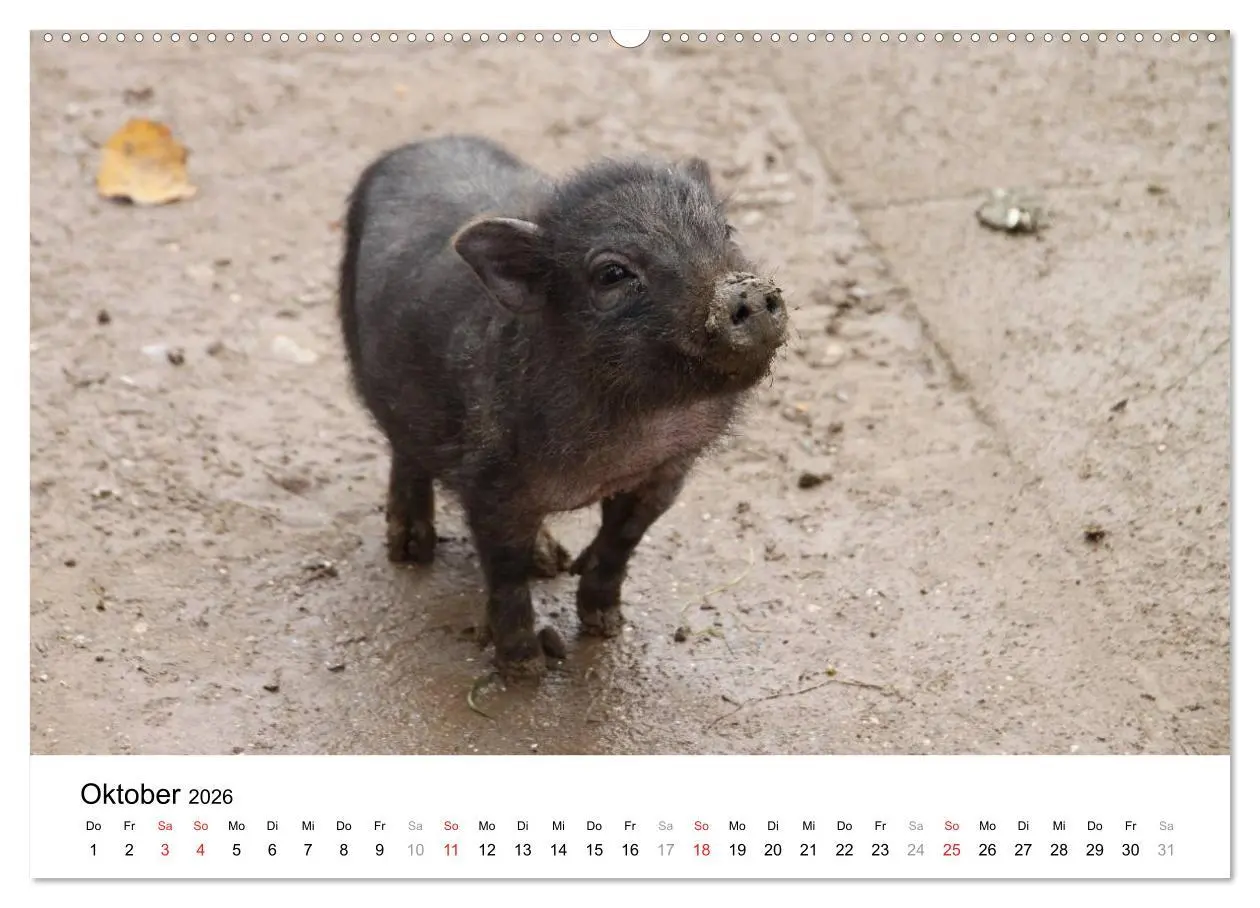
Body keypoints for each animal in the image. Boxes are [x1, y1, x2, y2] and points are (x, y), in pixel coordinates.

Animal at [337, 135, 789, 679]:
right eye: (613, 273)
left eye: (726, 231)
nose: (746, 288)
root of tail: (418, 143)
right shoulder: (491, 484)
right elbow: (505, 574)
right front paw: (526, 668)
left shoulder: (667, 471)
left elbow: (622, 542)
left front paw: (605, 625)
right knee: (404, 449)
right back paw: (410, 552)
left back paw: (550, 559)